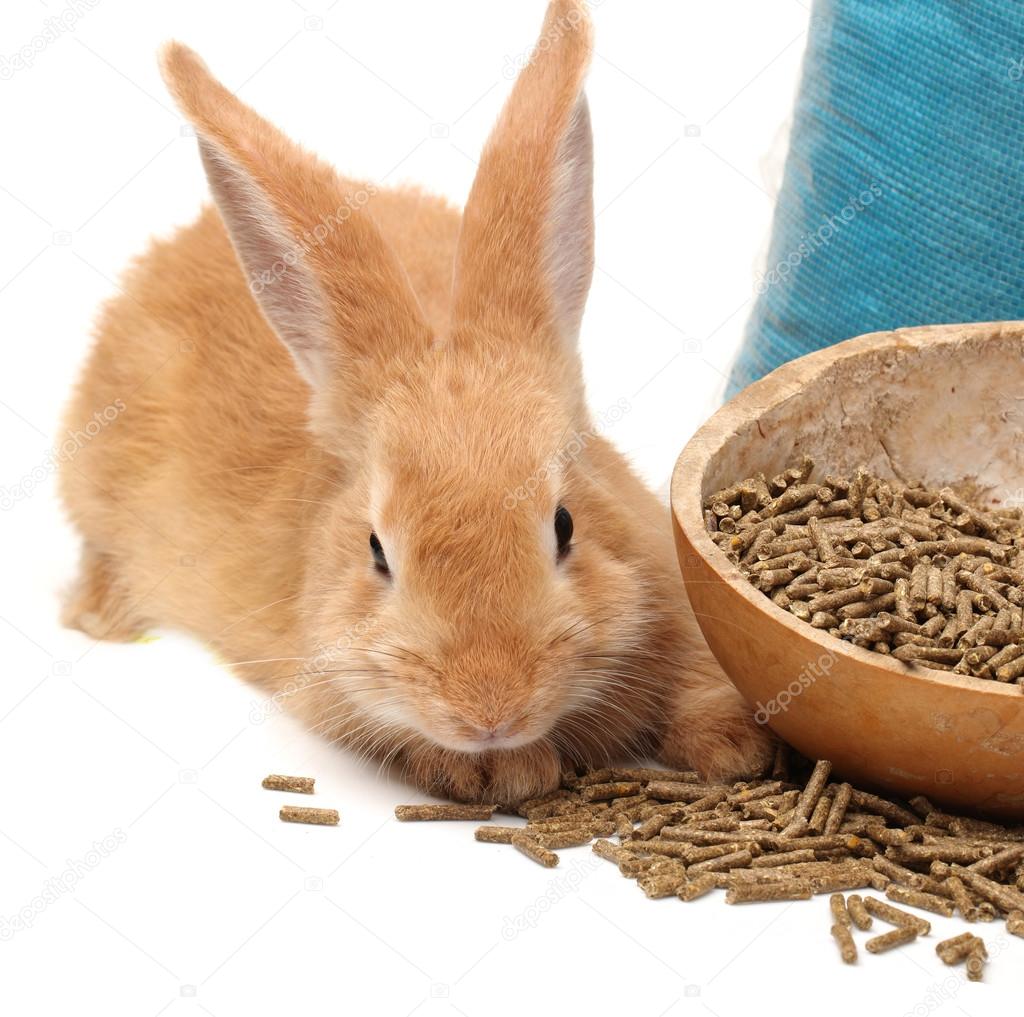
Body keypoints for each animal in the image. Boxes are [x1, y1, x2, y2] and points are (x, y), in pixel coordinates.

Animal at [59, 0, 772, 803]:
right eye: (378, 551)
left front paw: (734, 748)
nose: (489, 710)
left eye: (565, 525)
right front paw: (510, 769)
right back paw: (100, 616)